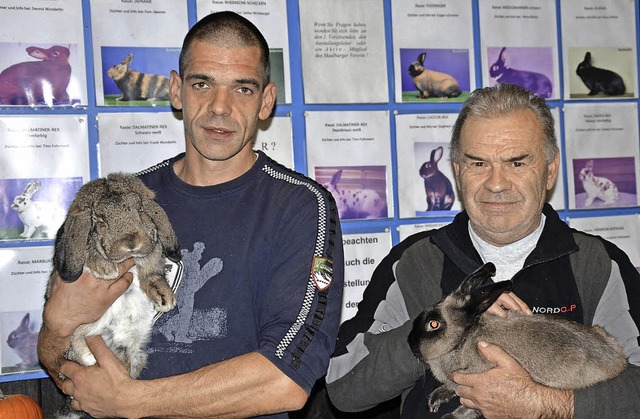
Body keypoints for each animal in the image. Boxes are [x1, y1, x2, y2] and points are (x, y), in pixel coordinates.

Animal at [44, 172, 180, 378]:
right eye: (99, 220)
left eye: (140, 209)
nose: (131, 242)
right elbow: (90, 253)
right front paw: (107, 270)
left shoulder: (150, 258)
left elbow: (151, 274)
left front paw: (165, 299)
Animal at [410, 264, 624, 418]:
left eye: (434, 324)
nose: (410, 343)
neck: (461, 341)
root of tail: (619, 363)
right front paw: (434, 401)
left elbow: (470, 408)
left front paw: (450, 416)